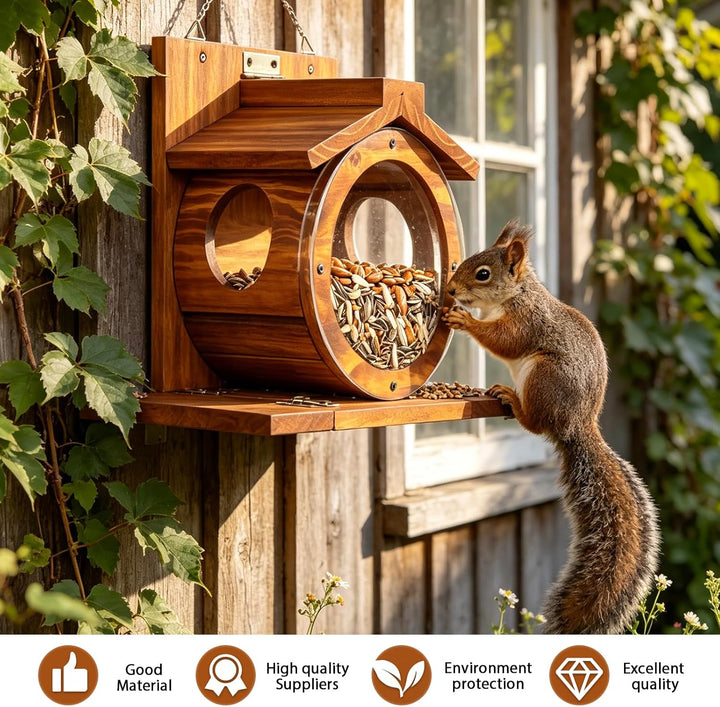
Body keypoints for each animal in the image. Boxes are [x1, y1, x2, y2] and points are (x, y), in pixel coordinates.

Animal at [443, 220, 660, 634]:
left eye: (483, 273)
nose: (450, 291)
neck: (516, 294)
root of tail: (577, 426)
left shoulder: (526, 321)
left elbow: (503, 340)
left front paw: (465, 320)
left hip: (544, 377)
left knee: (533, 423)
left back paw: (511, 397)